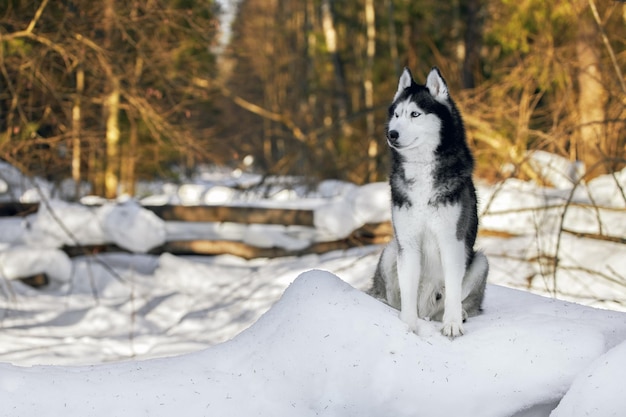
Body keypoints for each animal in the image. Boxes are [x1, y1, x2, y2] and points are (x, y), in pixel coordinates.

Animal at [366, 66, 488, 336]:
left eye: (415, 114)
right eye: (397, 114)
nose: (391, 134)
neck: (422, 169)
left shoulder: (451, 242)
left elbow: (453, 289)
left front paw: (452, 324)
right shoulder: (408, 243)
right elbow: (408, 292)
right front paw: (408, 325)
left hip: (480, 262)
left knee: (463, 300)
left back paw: (460, 314)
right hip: (391, 250)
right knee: (389, 296)